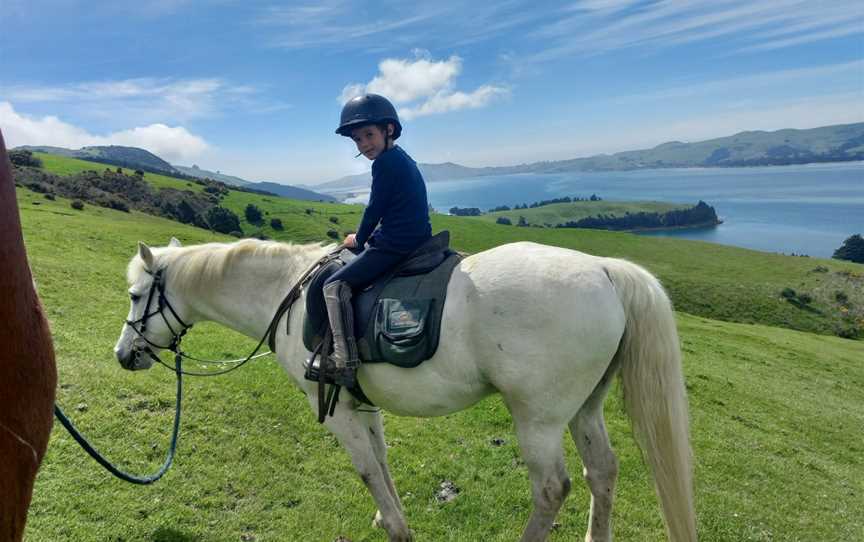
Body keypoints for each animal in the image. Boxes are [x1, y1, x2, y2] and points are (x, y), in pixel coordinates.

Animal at [113, 239, 696, 542]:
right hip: (584, 409)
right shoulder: (359, 402)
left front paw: (394, 527)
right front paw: (384, 514)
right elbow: (382, 460)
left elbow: (366, 468)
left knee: (553, 488)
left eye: (137, 294)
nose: (124, 355)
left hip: (540, 418)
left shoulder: (333, 409)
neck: (286, 294)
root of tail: (603, 269)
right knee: (603, 472)